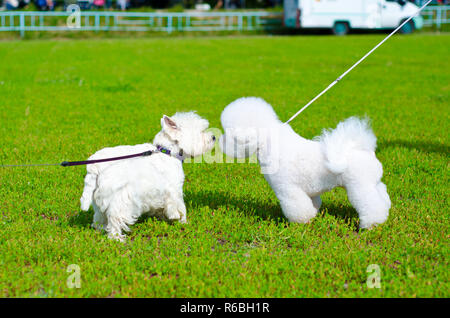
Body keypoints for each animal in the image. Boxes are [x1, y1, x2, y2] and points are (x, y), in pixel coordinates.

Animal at [79, 113, 216, 240]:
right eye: (201, 131)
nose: (214, 137)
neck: (168, 152)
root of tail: (94, 166)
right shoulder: (174, 189)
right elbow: (180, 207)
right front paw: (183, 222)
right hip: (118, 199)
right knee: (114, 218)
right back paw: (117, 238)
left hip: (98, 198)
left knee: (99, 217)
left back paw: (100, 229)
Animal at [219, 97, 390, 229]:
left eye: (229, 134)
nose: (219, 139)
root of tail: (365, 149)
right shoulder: (309, 191)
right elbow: (313, 203)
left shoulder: (287, 189)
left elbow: (298, 208)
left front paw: (301, 223)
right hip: (373, 183)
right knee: (382, 197)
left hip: (360, 186)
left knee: (372, 204)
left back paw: (371, 224)